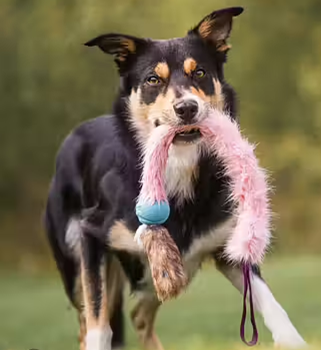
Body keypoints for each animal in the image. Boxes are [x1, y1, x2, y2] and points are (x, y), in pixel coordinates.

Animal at [44, 7, 304, 350]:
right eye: (153, 79)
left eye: (200, 73)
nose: (187, 108)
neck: (178, 165)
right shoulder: (92, 235)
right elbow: (98, 325)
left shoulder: (226, 250)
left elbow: (271, 303)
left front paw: (292, 338)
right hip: (75, 266)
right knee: (89, 321)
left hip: (158, 278)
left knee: (140, 314)